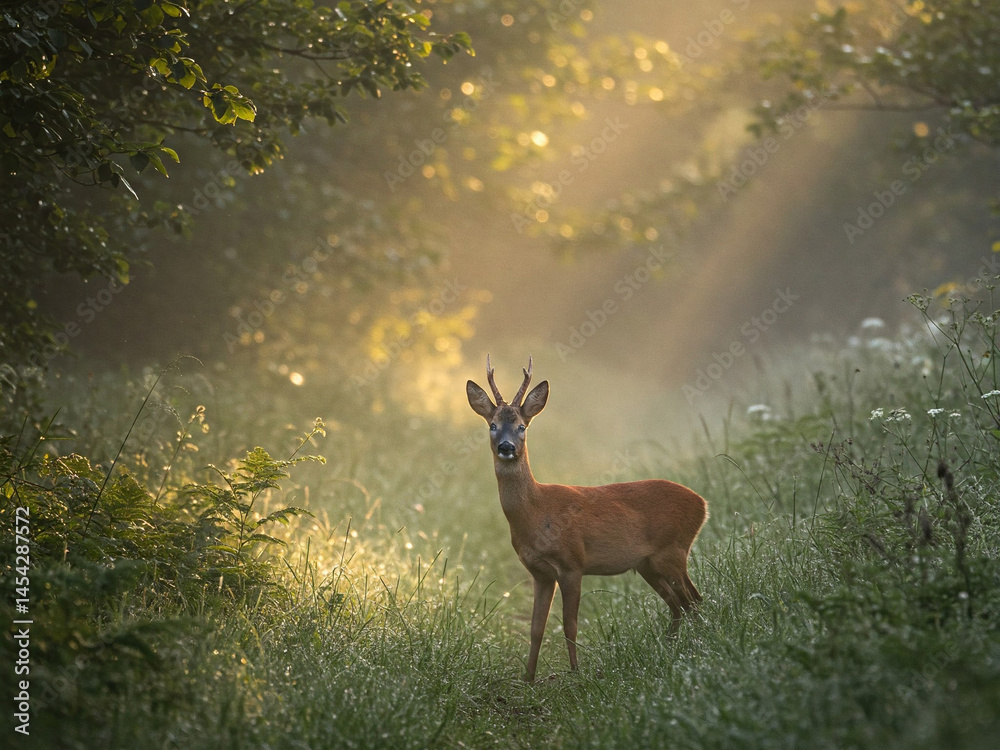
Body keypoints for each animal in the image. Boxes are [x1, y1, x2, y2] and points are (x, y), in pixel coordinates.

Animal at [467, 356, 708, 682]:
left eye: (521, 426)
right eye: (492, 425)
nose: (507, 447)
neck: (536, 513)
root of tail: (703, 504)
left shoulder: (572, 563)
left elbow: (570, 625)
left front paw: (575, 672)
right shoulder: (540, 572)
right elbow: (536, 628)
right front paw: (528, 679)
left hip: (672, 551)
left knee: (693, 600)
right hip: (647, 564)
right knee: (679, 605)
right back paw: (672, 648)